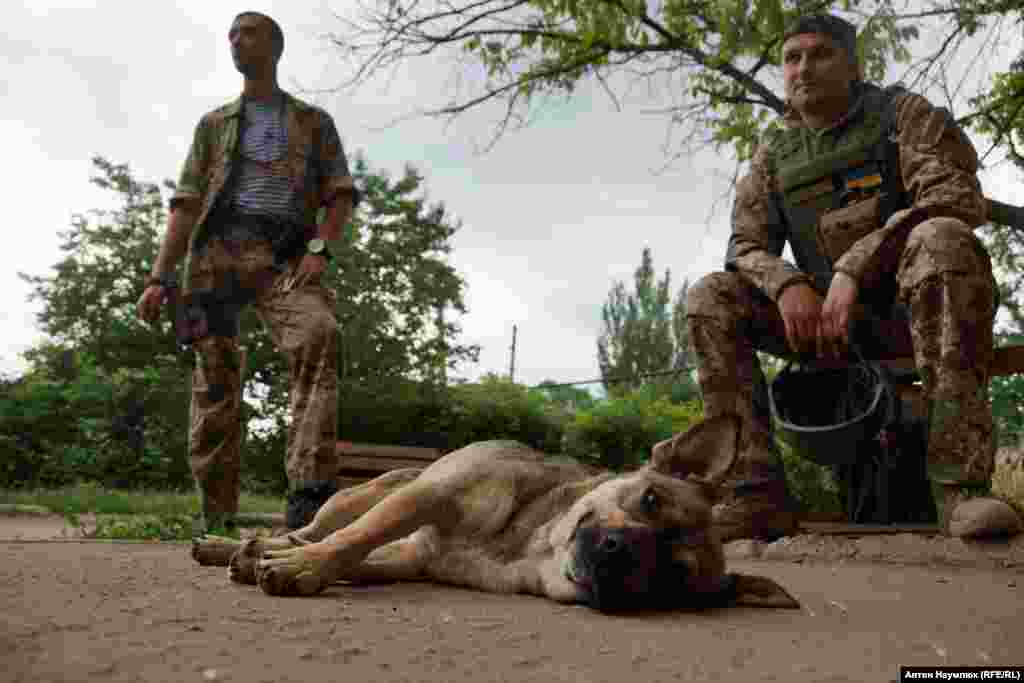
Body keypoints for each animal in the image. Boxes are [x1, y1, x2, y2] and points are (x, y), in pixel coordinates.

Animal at [192, 413, 798, 618]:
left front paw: (297, 566)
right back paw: (236, 546)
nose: (622, 551)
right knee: (316, 527)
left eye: (673, 575)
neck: (530, 548)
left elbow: (358, 558)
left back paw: (251, 552)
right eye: (650, 500)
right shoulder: (422, 501)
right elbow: (348, 542)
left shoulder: (410, 558)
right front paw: (302, 567)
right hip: (367, 493)